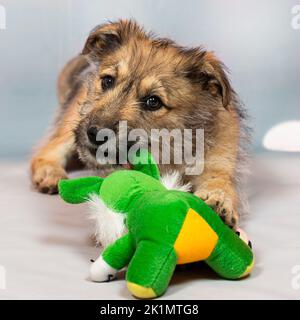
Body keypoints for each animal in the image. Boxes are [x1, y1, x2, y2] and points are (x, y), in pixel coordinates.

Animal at [31, 20, 251, 228]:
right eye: (108, 81)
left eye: (153, 101)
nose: (94, 134)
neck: (171, 149)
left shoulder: (219, 160)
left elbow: (219, 181)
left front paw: (218, 200)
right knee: (45, 151)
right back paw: (50, 173)